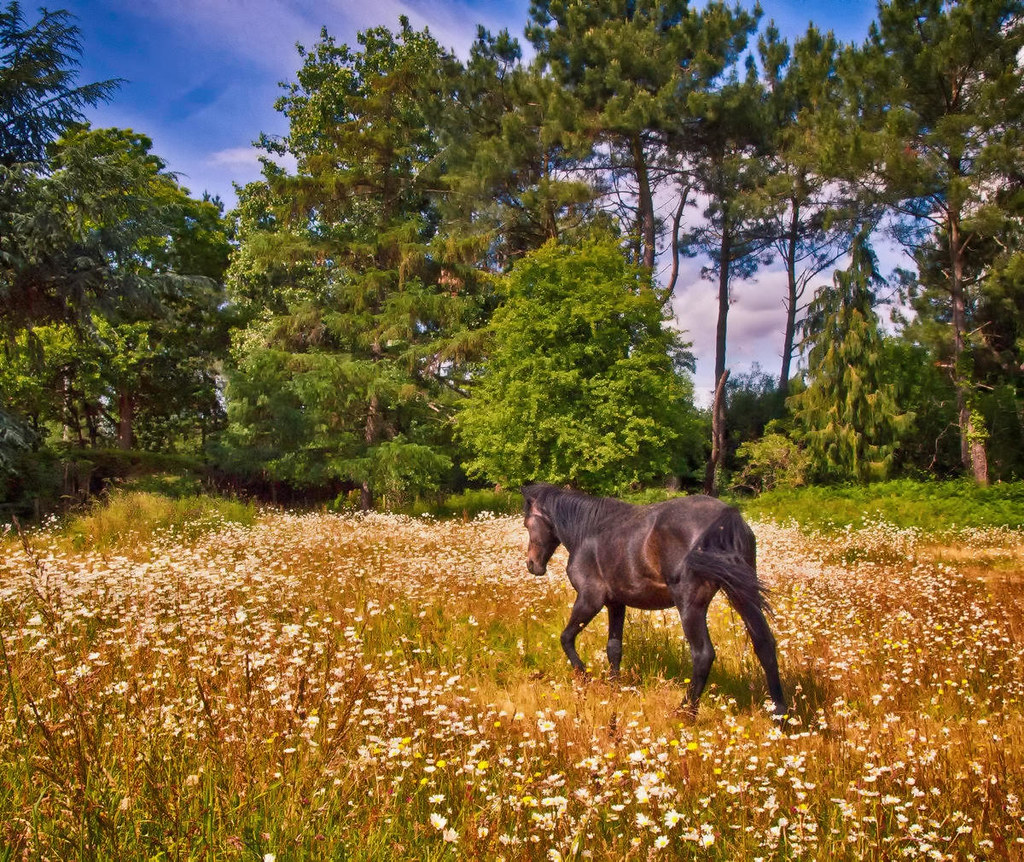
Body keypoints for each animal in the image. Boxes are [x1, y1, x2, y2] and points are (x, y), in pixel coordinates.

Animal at [521, 483, 786, 717]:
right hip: (743, 595)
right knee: (764, 645)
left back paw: (685, 712)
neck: (589, 532)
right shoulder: (616, 603)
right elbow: (614, 648)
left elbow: (566, 638)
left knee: (703, 655)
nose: (532, 565)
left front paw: (585, 676)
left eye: (527, 523)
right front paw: (614, 688)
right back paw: (780, 714)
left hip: (690, 605)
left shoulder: (589, 599)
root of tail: (726, 517)